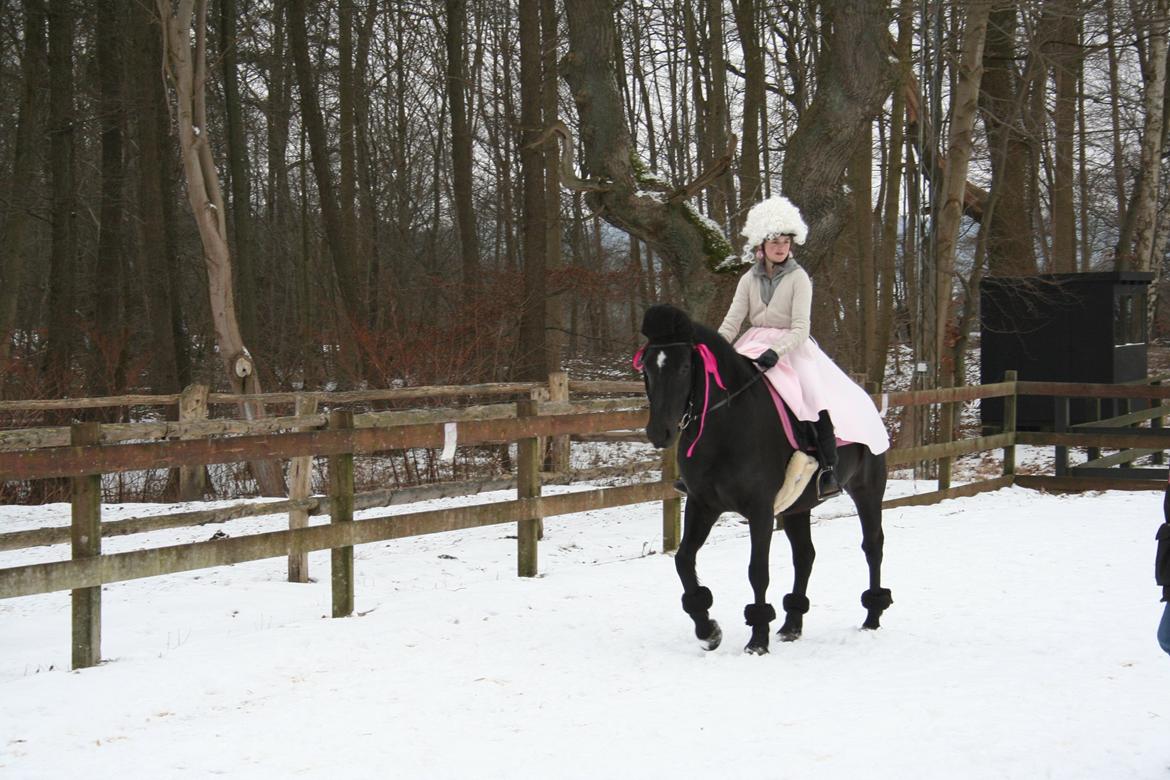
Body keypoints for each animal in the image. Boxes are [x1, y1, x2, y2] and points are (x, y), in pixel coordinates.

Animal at [636, 304, 889, 654]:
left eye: (686, 366)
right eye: (646, 367)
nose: (659, 432)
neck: (727, 425)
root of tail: (866, 396)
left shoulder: (760, 509)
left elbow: (757, 571)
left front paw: (757, 640)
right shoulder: (703, 504)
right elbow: (684, 560)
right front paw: (707, 629)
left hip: (868, 489)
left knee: (873, 546)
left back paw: (872, 617)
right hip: (798, 506)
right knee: (804, 556)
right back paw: (792, 625)